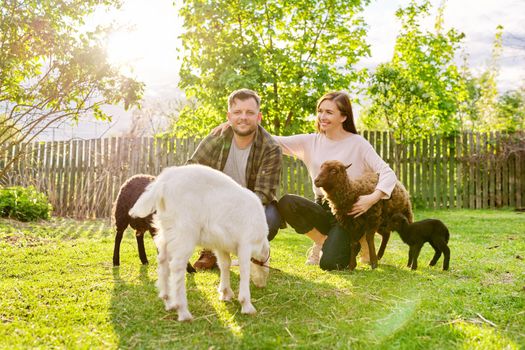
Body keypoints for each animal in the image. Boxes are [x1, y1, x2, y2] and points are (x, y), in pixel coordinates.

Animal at [129, 165, 270, 322]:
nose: (262, 285)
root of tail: (163, 181)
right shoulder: (245, 243)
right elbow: (244, 270)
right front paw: (247, 305)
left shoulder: (221, 246)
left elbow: (225, 265)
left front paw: (225, 293)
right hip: (185, 230)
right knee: (177, 266)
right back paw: (183, 311)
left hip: (167, 228)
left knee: (163, 260)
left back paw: (168, 301)